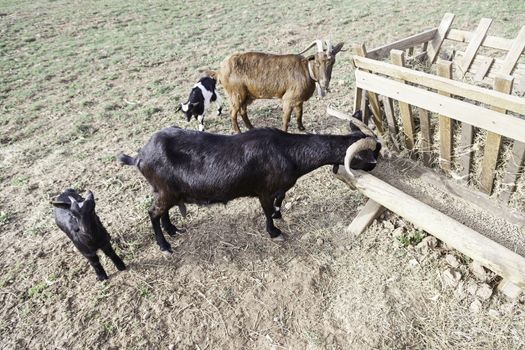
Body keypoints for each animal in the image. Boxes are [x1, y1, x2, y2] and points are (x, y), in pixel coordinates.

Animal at [117, 116, 380, 253]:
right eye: (370, 154)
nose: (376, 165)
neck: (288, 152)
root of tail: (140, 156)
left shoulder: (280, 188)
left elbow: (280, 200)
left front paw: (278, 215)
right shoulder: (263, 190)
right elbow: (266, 209)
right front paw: (274, 232)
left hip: (166, 191)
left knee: (162, 212)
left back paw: (173, 230)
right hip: (165, 191)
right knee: (153, 213)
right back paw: (164, 245)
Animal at [213, 40, 344, 133]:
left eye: (332, 61)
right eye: (317, 62)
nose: (325, 83)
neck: (306, 70)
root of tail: (220, 70)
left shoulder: (298, 100)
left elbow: (299, 113)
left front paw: (301, 128)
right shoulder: (288, 99)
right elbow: (286, 118)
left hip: (246, 95)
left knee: (242, 110)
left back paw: (251, 128)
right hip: (236, 94)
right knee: (233, 112)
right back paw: (238, 131)